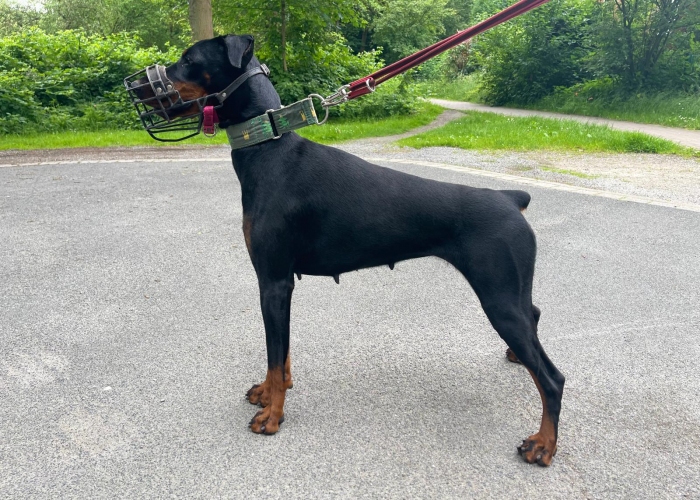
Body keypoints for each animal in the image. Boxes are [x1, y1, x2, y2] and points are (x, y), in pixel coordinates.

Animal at [135, 36, 564, 468]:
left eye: (188, 59)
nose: (137, 87)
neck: (268, 148)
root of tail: (510, 197)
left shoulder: (273, 282)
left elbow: (275, 354)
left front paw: (272, 416)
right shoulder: (281, 284)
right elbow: (280, 355)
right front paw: (270, 393)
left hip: (498, 297)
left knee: (552, 379)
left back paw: (543, 444)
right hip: (509, 291)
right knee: (535, 313)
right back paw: (517, 361)